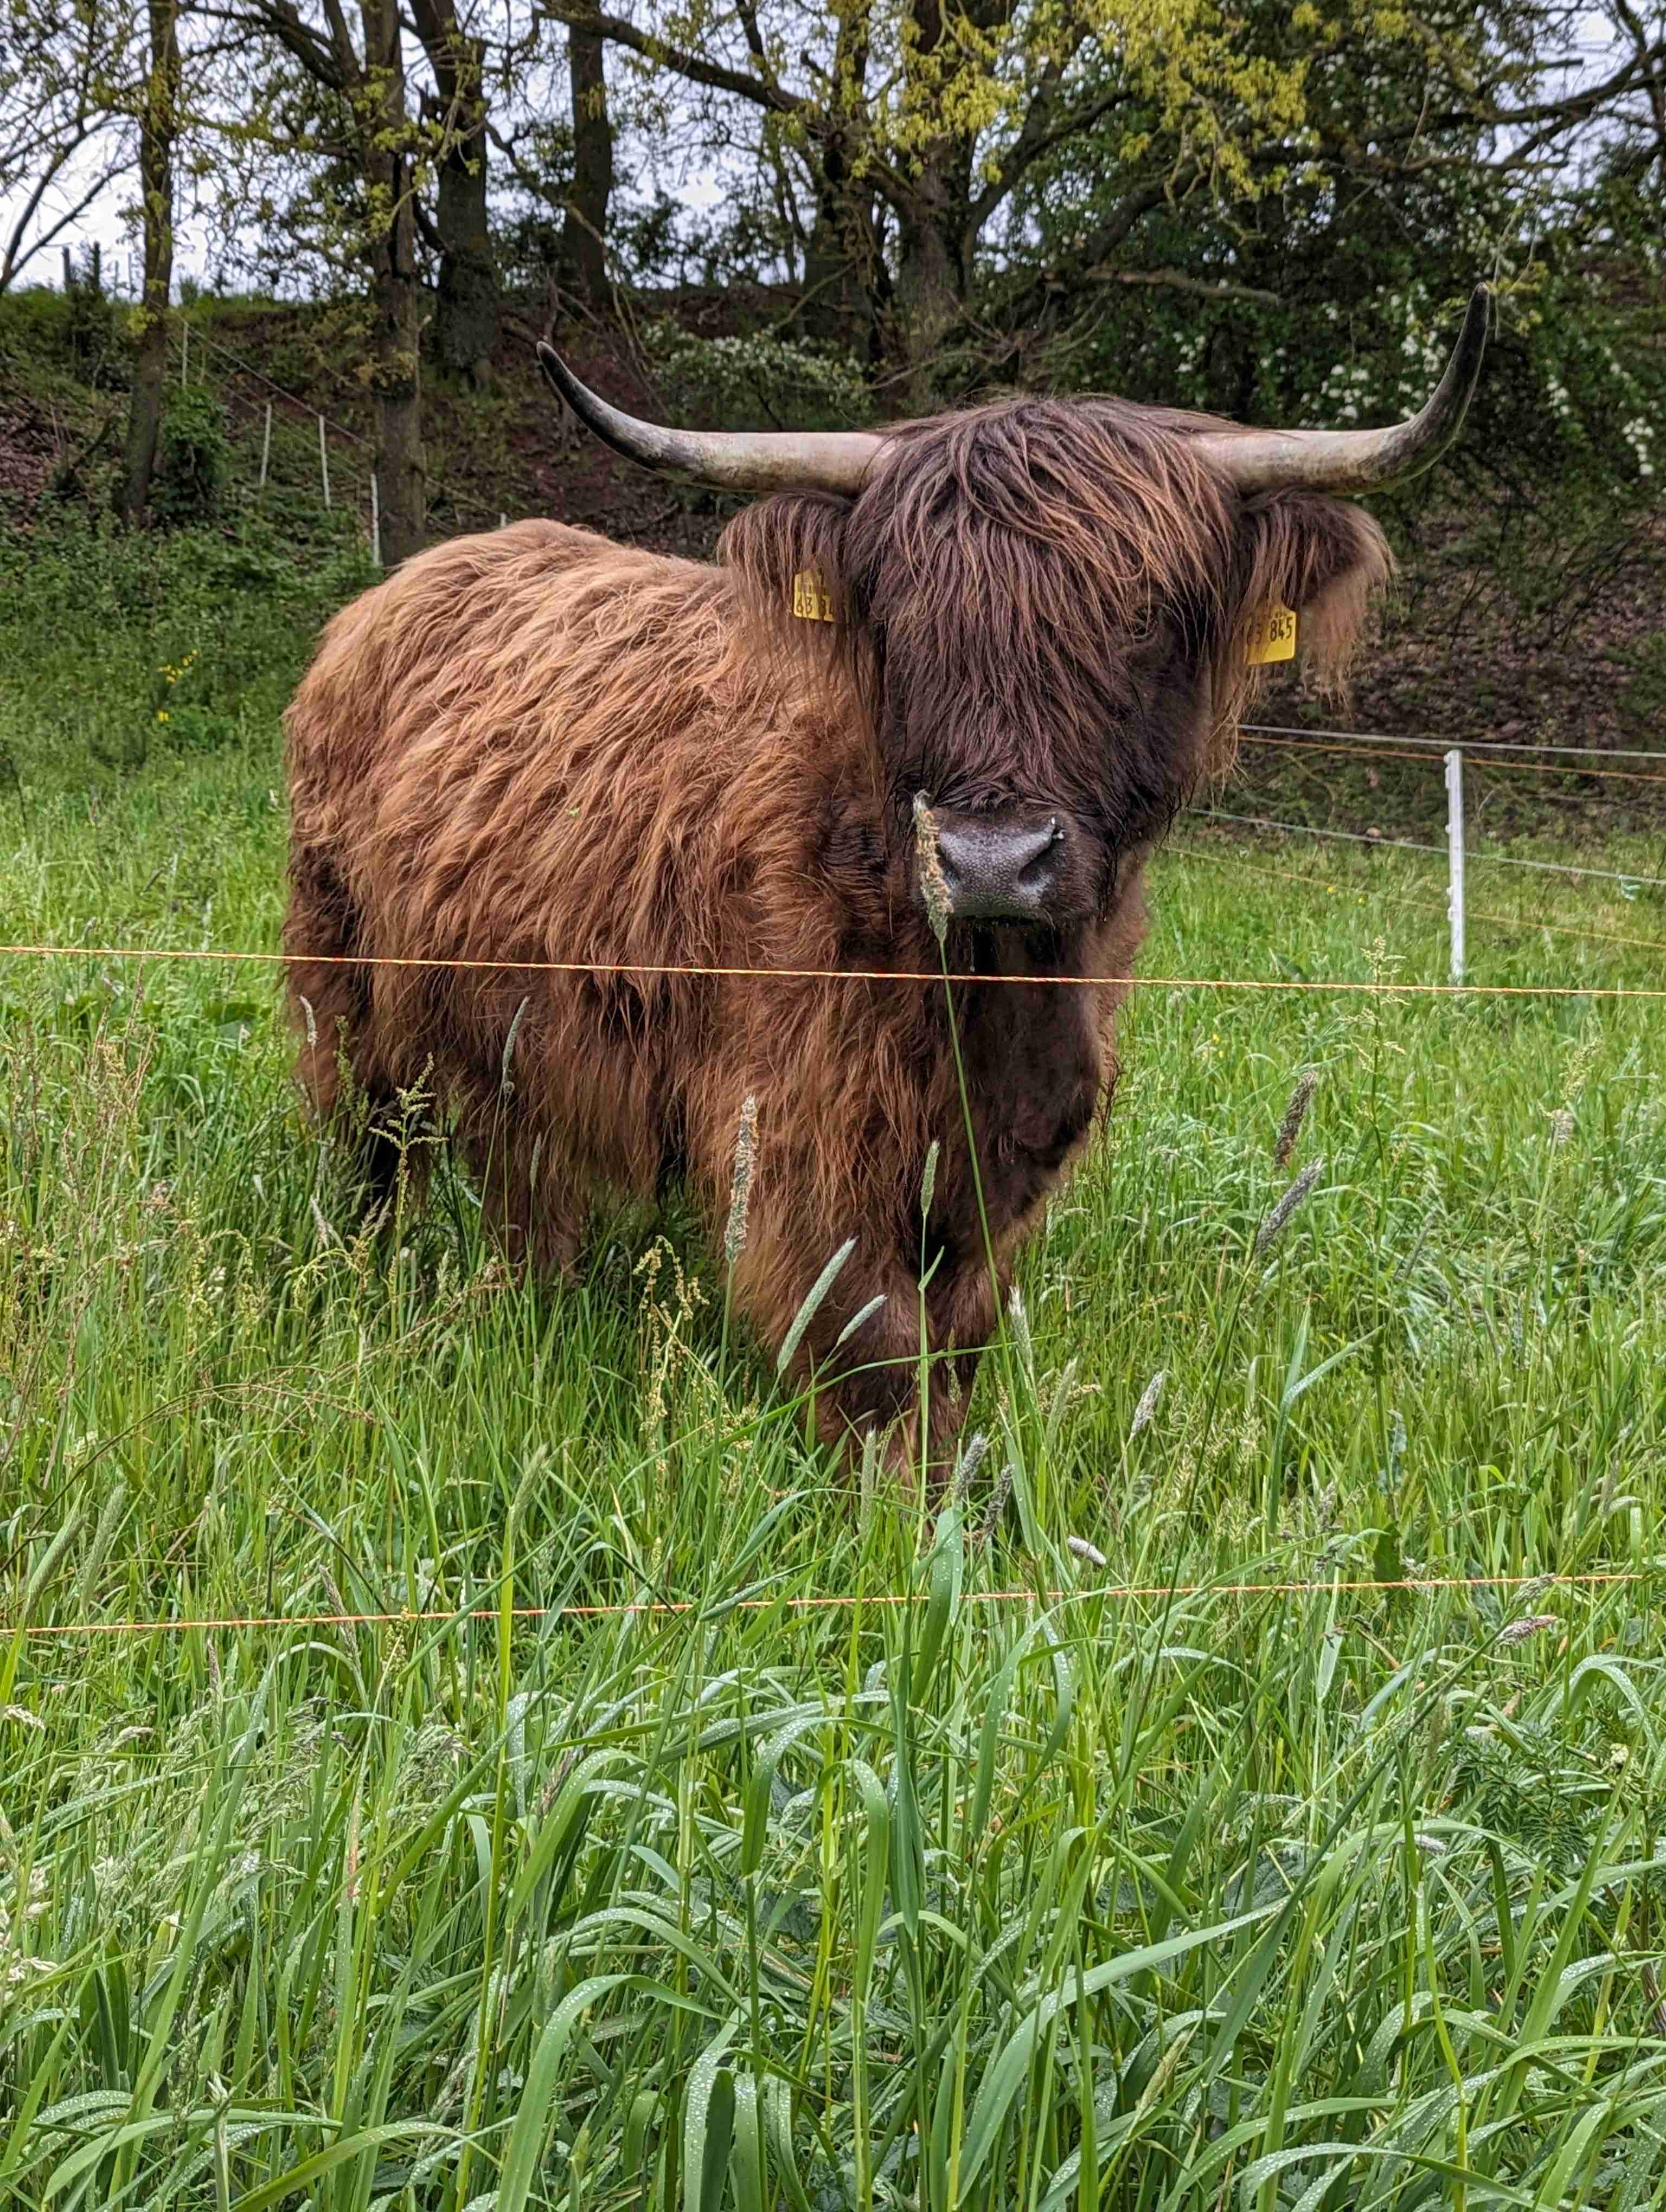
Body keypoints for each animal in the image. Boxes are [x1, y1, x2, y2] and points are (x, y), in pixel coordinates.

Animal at [280, 290, 1486, 1469]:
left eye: (1144, 621)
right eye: (906, 623)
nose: (991, 861)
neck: (992, 991)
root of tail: (410, 580)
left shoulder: (1011, 1147)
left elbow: (960, 1329)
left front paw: (956, 1470)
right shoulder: (802, 1126)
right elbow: (872, 1343)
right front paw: (900, 1506)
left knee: (518, 1169)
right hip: (341, 968)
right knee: (375, 1142)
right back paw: (375, 1274)